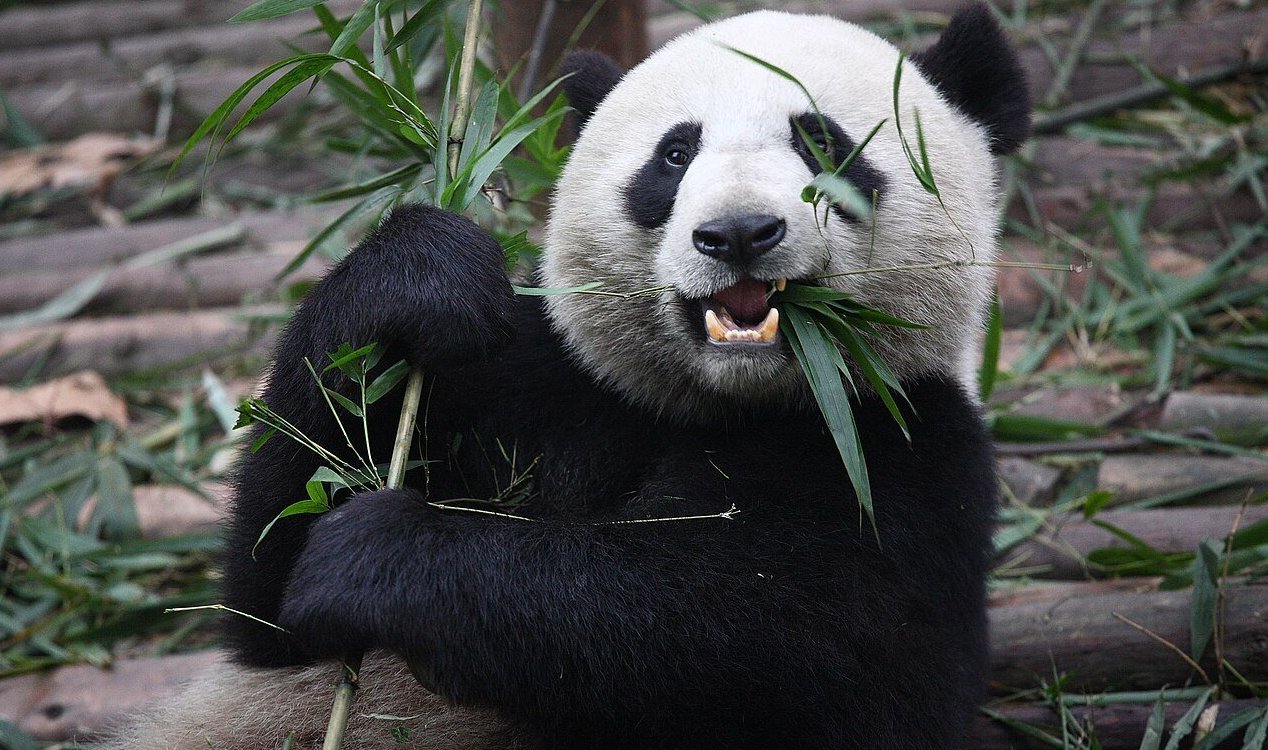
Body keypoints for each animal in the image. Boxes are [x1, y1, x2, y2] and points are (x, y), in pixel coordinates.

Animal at [110, 5, 1028, 749]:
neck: (718, 404)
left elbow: (730, 630)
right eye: (674, 154)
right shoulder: (542, 377)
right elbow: (269, 600)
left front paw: (379, 557)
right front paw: (419, 279)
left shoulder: (903, 458)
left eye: (824, 142)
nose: (737, 233)